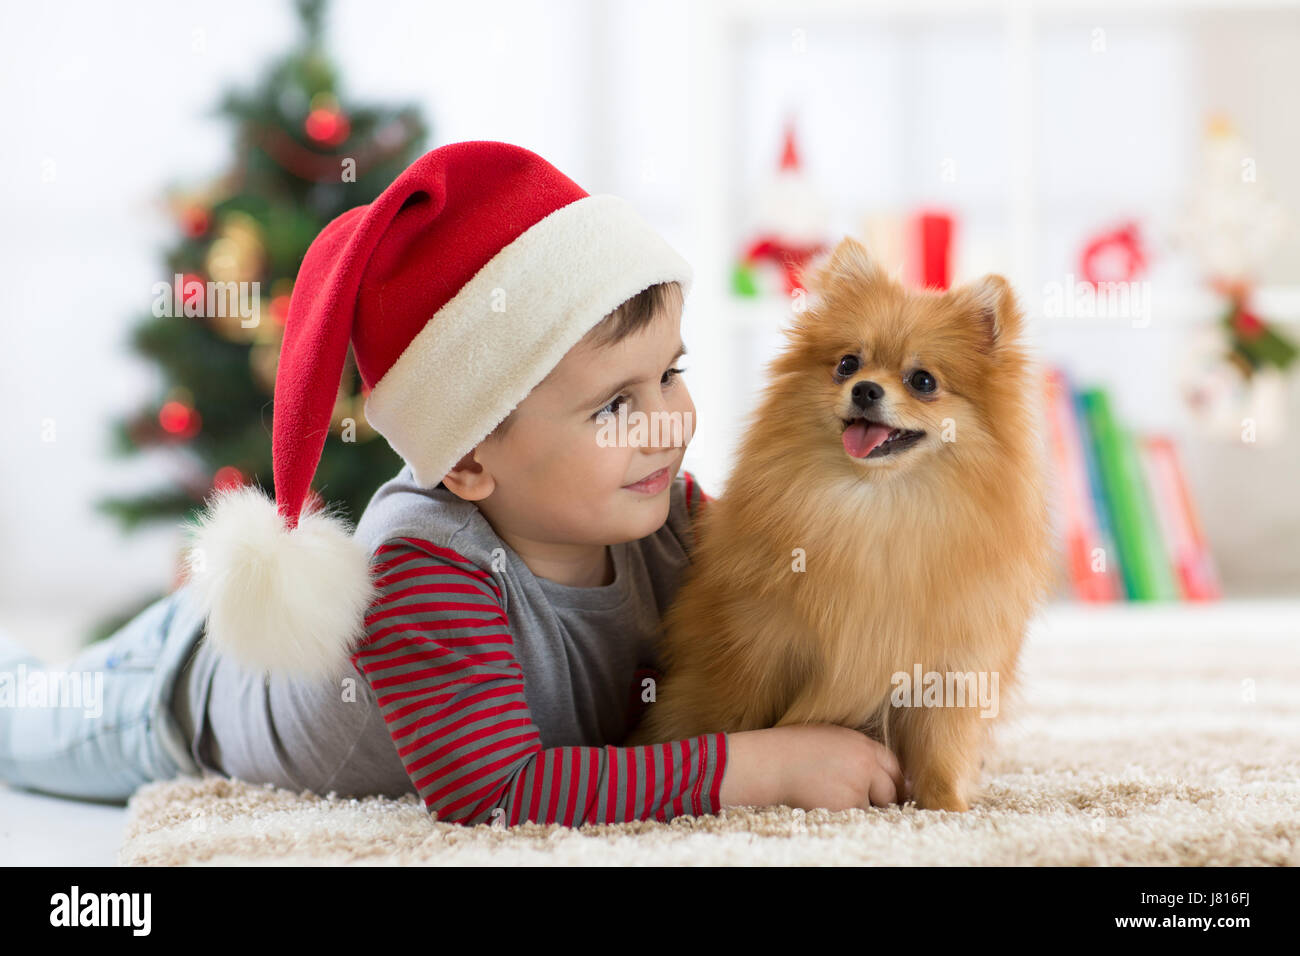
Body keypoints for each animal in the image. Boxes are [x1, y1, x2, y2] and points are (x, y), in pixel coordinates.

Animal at [618, 235, 1055, 811]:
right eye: (848, 364)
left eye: (923, 381)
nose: (866, 389)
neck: (875, 507)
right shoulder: (755, 648)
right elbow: (733, 718)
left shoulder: (946, 671)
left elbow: (941, 751)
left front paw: (947, 808)